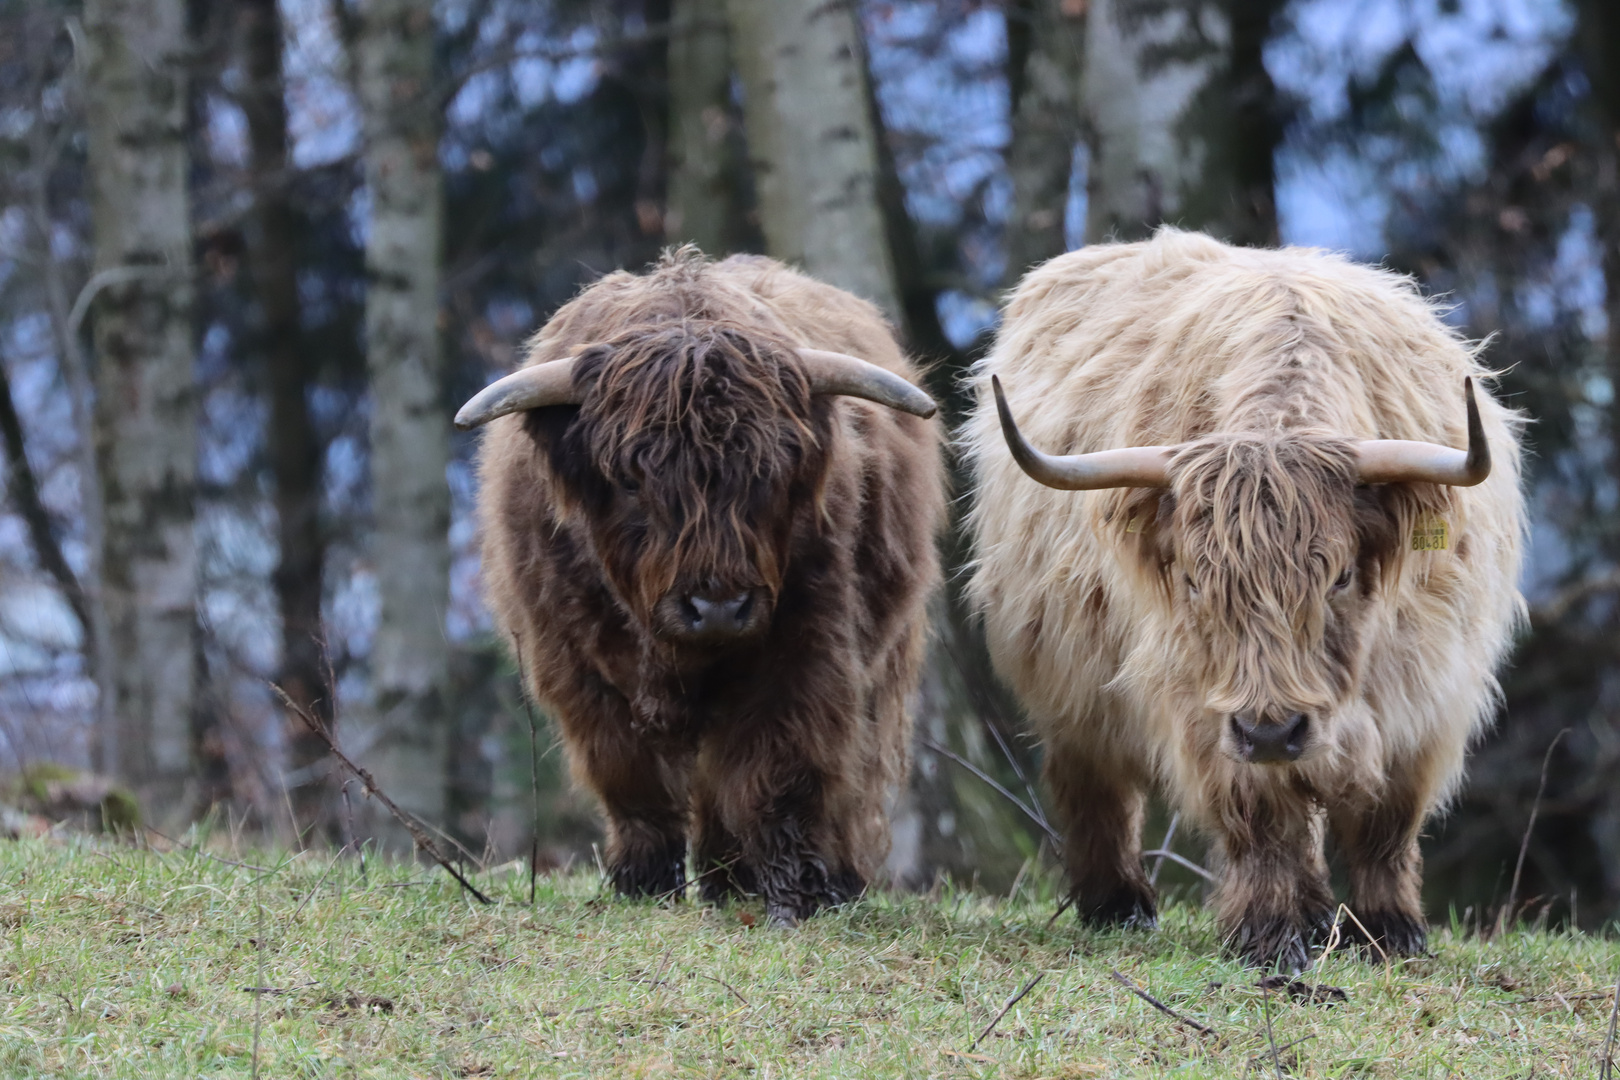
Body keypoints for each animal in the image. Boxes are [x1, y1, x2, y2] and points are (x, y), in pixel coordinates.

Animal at [456, 249, 946, 926]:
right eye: (630, 480)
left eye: (771, 475)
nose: (717, 606)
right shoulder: (573, 667)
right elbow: (628, 774)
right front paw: (642, 882)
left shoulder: (804, 651)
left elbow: (778, 768)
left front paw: (797, 896)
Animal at [965, 228, 1522, 971]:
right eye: (1196, 581)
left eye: (1340, 576)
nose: (1271, 731)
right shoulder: (1205, 702)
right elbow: (1258, 812)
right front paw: (1269, 934)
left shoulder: (1425, 696)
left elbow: (1385, 820)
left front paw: (1389, 930)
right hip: (1067, 679)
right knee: (1094, 784)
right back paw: (1119, 905)